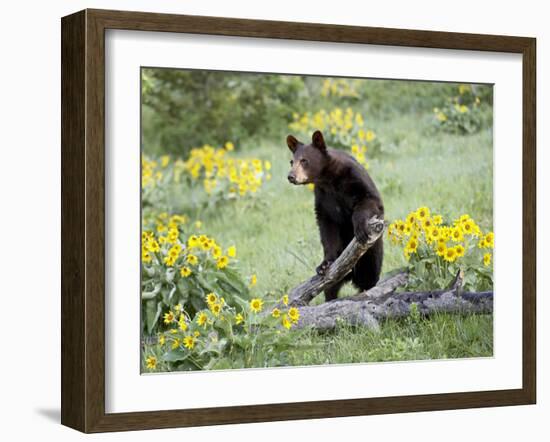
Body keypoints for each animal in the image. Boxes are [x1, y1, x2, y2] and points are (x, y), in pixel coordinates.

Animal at [288, 128, 384, 300]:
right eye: (292, 162)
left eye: (304, 160)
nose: (291, 176)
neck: (328, 179)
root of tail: (351, 276)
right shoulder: (323, 197)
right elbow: (327, 227)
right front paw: (324, 264)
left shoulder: (354, 178)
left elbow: (369, 200)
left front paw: (359, 228)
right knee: (331, 288)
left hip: (372, 254)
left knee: (369, 276)